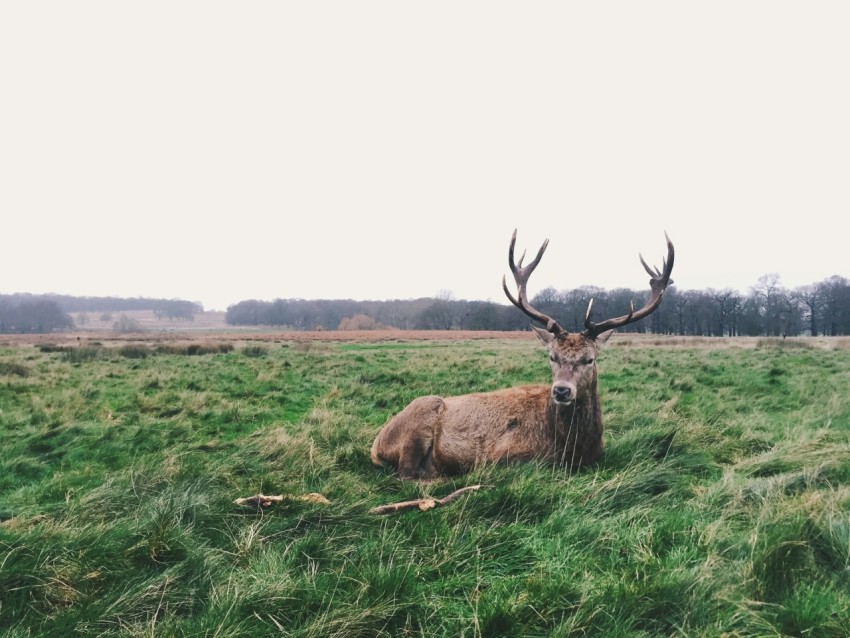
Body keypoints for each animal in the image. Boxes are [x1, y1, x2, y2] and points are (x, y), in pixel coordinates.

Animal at [371, 230, 674, 480]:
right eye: (551, 356)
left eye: (589, 359)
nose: (561, 391)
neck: (571, 448)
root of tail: (376, 444)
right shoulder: (504, 456)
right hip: (419, 420)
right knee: (407, 474)